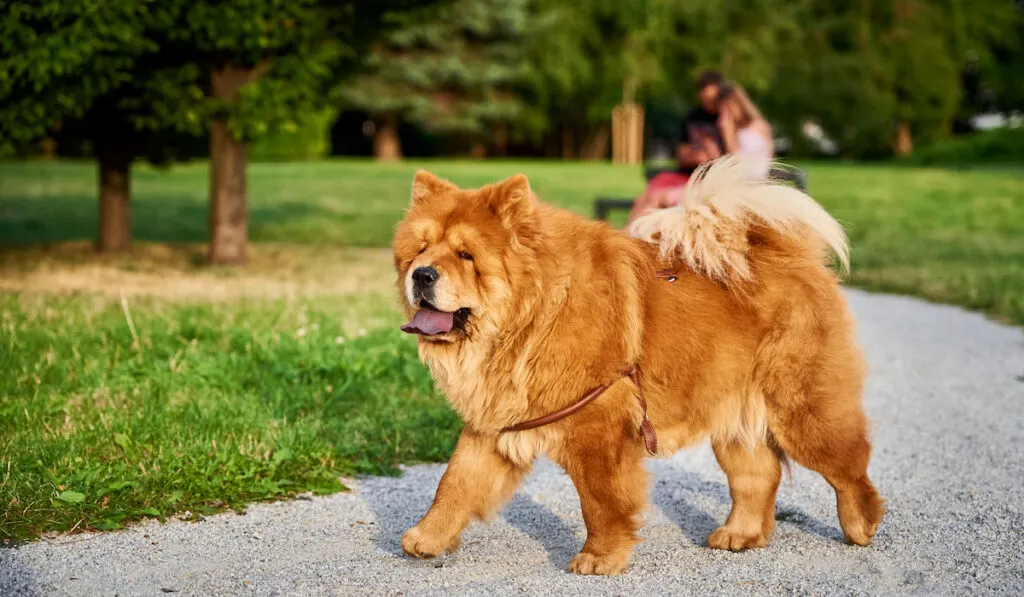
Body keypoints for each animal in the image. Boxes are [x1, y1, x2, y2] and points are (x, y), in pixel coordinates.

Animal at [391, 157, 888, 573]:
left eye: (466, 256)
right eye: (420, 250)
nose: (422, 274)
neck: (531, 317)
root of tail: (786, 255)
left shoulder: (598, 425)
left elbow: (600, 501)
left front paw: (599, 559)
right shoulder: (495, 422)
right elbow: (454, 483)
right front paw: (425, 539)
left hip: (803, 411)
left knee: (849, 467)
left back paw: (861, 526)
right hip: (733, 417)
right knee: (757, 476)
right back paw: (739, 535)